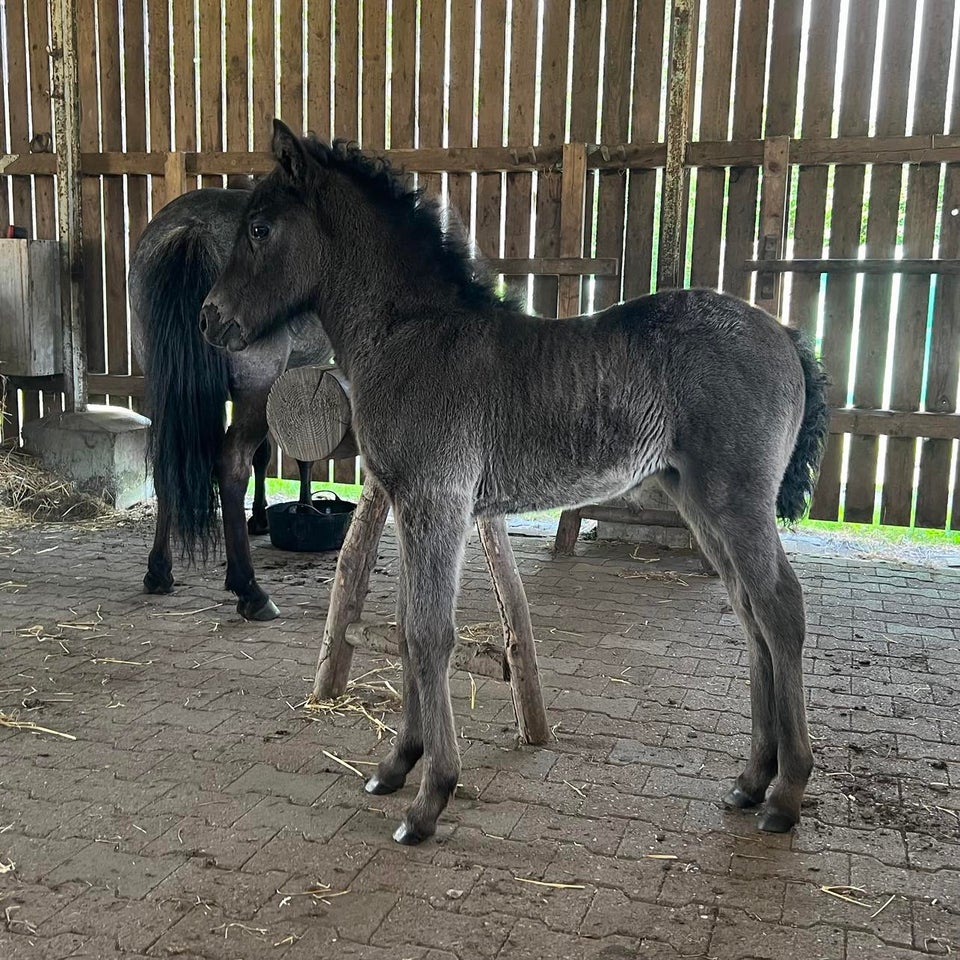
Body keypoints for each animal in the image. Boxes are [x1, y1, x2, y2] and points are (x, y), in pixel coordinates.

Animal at [128, 188, 334, 624]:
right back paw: (250, 590)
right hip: (254, 388)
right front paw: (293, 509)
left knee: (169, 461)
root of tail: (192, 228)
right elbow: (294, 452)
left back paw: (159, 571)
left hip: (164, 386)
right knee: (232, 465)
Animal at [201, 122, 824, 848]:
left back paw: (786, 793)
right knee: (752, 614)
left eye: (260, 228)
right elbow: (409, 625)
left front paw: (430, 798)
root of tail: (784, 333)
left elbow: (430, 635)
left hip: (736, 501)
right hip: (699, 502)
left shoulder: (438, 500)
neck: (410, 333)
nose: (210, 318)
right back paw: (751, 780)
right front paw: (397, 765)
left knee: (780, 608)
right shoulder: (413, 505)